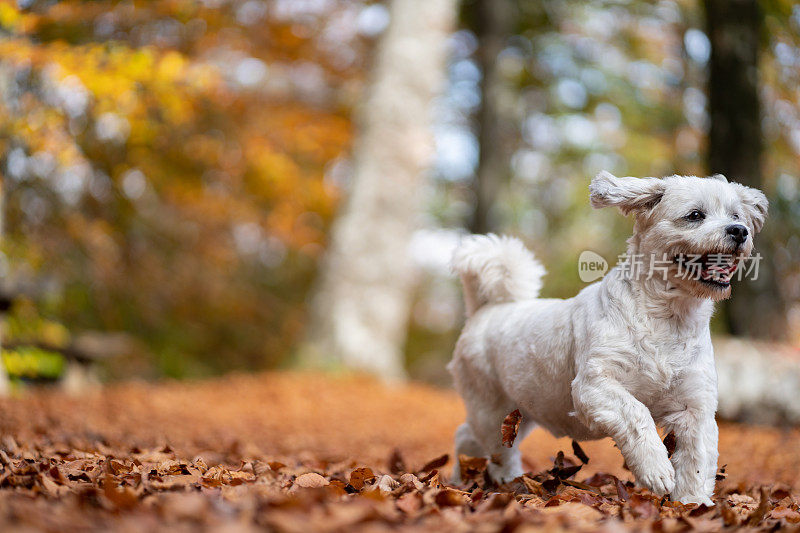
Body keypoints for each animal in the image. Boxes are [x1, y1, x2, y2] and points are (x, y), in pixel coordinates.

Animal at [450, 171, 768, 502]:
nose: (739, 231)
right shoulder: (595, 386)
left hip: (521, 412)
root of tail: (486, 310)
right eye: (695, 215)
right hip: (489, 409)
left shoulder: (696, 406)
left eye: (736, 216)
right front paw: (656, 470)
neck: (667, 319)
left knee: (472, 439)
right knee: (483, 444)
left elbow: (697, 460)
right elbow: (637, 413)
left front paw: (693, 503)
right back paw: (490, 479)